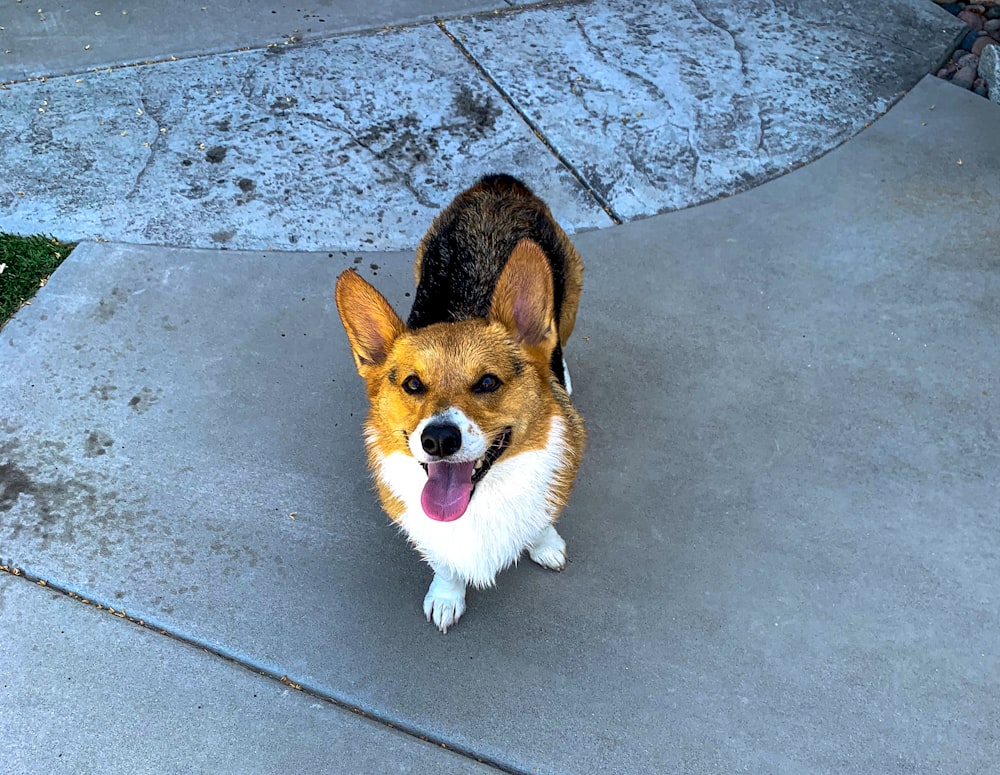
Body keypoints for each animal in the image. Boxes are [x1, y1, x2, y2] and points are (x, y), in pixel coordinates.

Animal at [336, 174, 584, 632]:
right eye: (412, 384)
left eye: (487, 382)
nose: (438, 440)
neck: (481, 498)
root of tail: (498, 184)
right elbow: (446, 563)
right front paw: (447, 597)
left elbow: (541, 520)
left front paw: (545, 545)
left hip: (570, 303)